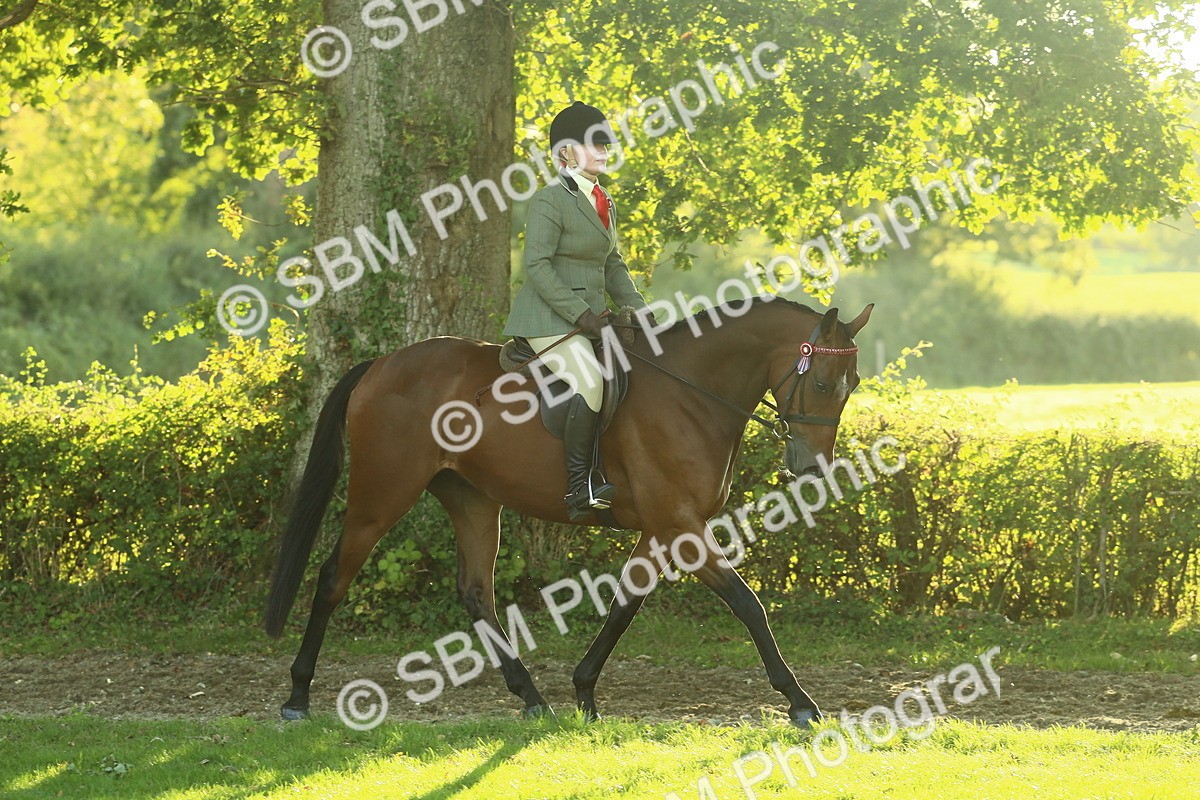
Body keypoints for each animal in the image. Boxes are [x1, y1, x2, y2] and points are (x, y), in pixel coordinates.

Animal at [264, 296, 873, 727]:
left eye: (853, 386)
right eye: (822, 383)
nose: (813, 469)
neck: (693, 394)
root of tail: (381, 365)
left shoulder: (662, 529)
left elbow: (625, 604)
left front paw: (583, 691)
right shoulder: (682, 527)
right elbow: (749, 606)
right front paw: (800, 702)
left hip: (472, 499)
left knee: (475, 593)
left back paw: (533, 698)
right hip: (382, 494)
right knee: (333, 578)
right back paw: (297, 696)